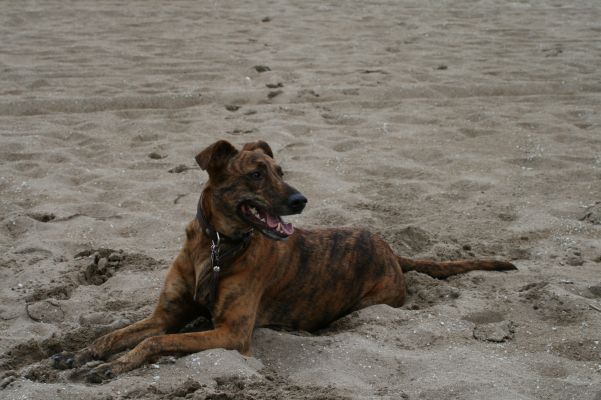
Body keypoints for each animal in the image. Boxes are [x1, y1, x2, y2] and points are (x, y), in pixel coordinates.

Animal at [52, 139, 516, 382]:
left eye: (280, 169)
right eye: (256, 173)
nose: (301, 200)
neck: (217, 247)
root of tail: (390, 249)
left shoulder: (232, 333)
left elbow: (154, 342)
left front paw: (114, 366)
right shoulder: (166, 315)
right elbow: (118, 334)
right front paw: (82, 353)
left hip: (370, 304)